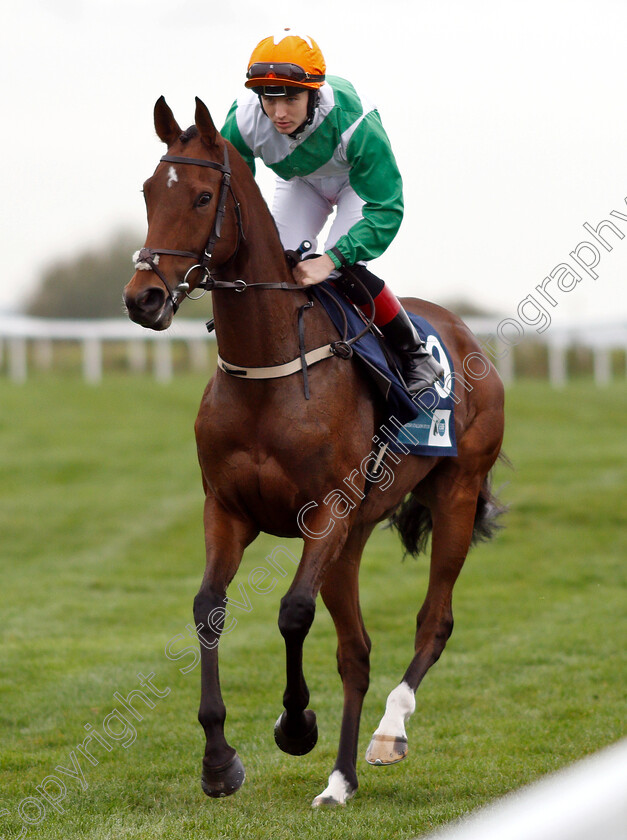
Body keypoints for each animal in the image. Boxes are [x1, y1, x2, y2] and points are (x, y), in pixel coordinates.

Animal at [122, 97, 506, 808]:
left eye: (203, 196)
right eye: (147, 191)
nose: (144, 298)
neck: (267, 370)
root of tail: (467, 337)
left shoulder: (325, 512)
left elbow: (292, 612)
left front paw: (295, 723)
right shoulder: (228, 510)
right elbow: (208, 609)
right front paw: (219, 760)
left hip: (456, 495)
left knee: (433, 621)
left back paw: (388, 734)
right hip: (353, 539)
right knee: (356, 650)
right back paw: (339, 781)